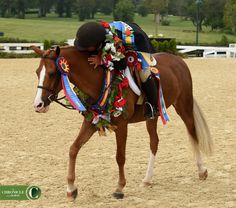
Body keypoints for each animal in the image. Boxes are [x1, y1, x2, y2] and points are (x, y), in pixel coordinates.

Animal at [30, 46, 212, 202]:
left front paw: (119, 188)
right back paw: (147, 179)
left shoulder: (122, 125)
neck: (102, 81)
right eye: (38, 72)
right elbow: (73, 149)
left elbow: (120, 156)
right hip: (152, 116)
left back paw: (202, 170)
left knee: (193, 133)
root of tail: (178, 60)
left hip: (183, 106)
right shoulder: (90, 122)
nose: (38, 105)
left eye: (52, 73)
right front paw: (71, 189)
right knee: (154, 142)